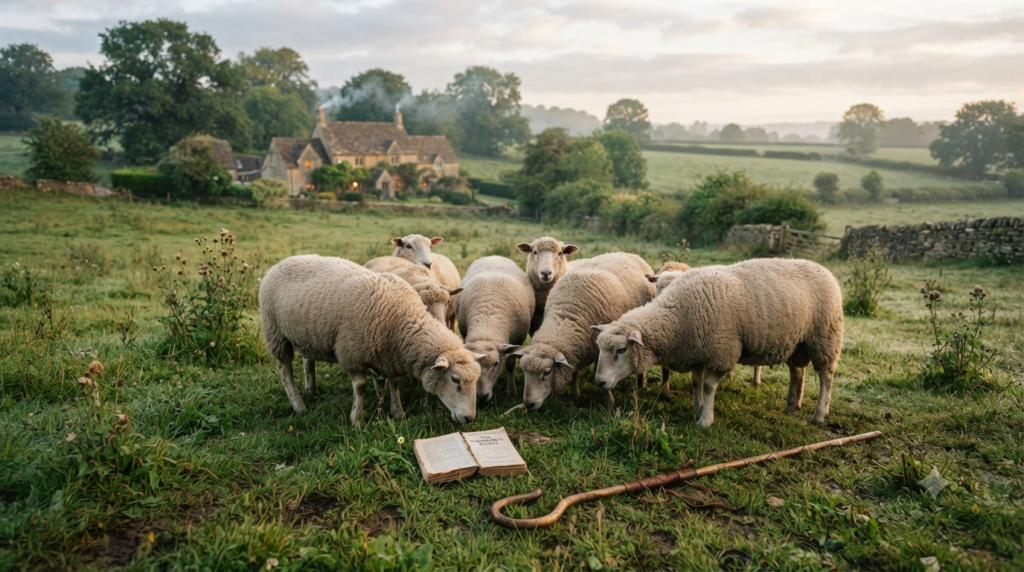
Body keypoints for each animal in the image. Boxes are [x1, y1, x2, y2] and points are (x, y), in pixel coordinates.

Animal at [259, 255, 483, 427]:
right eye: (455, 379)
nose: (469, 418)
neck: (399, 321)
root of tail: (283, 261)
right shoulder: (350, 354)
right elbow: (360, 386)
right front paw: (356, 420)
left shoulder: (391, 355)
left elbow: (394, 383)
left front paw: (397, 412)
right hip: (276, 334)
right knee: (285, 372)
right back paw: (300, 407)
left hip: (308, 334)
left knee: (308, 360)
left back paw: (312, 391)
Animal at [455, 256, 535, 404]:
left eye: (496, 363)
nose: (482, 397)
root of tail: (494, 256)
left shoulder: (518, 339)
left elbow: (510, 364)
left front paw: (512, 391)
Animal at [511, 252, 655, 410]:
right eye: (525, 372)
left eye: (547, 372)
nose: (528, 404)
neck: (567, 316)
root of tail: (626, 253)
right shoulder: (575, 350)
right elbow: (575, 374)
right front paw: (576, 396)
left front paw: (609, 402)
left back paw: (642, 382)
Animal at [593, 258, 843, 427]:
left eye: (621, 349)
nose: (599, 382)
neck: (679, 316)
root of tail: (824, 269)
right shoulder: (697, 352)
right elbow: (696, 383)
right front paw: (697, 408)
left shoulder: (722, 353)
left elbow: (709, 386)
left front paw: (705, 419)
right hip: (798, 342)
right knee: (797, 372)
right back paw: (791, 406)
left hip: (824, 336)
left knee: (826, 376)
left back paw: (819, 414)